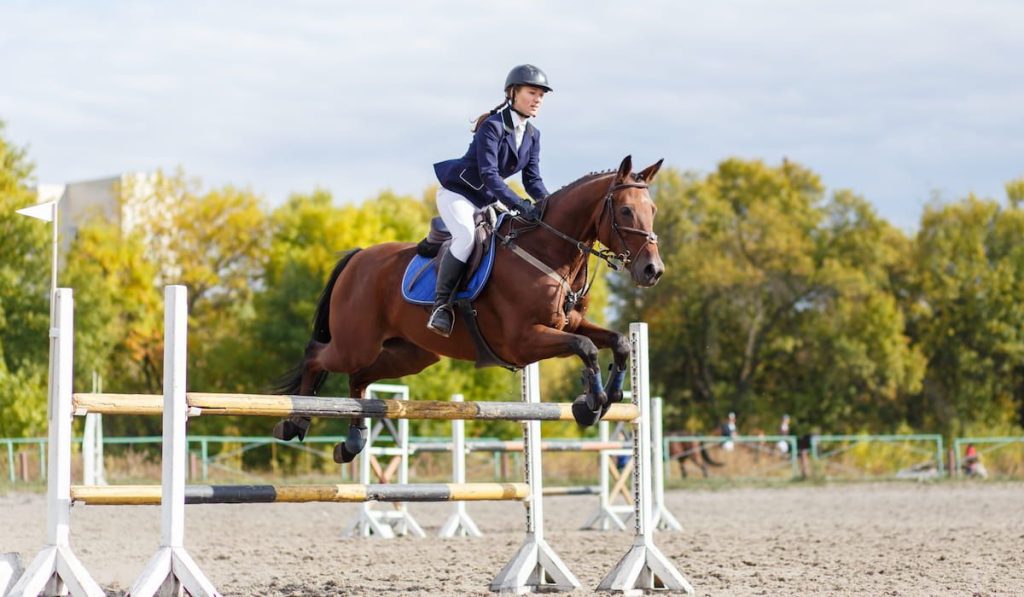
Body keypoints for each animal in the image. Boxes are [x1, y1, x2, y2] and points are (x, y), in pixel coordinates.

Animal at [272, 155, 663, 462]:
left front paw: (608, 397)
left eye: (653, 211)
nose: (652, 271)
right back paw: (293, 421)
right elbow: (586, 348)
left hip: (411, 355)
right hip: (356, 343)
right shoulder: (522, 342)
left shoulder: (568, 324)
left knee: (359, 378)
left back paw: (352, 443)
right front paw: (590, 403)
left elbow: (617, 342)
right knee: (316, 356)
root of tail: (358, 257)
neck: (548, 252)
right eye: (626, 210)